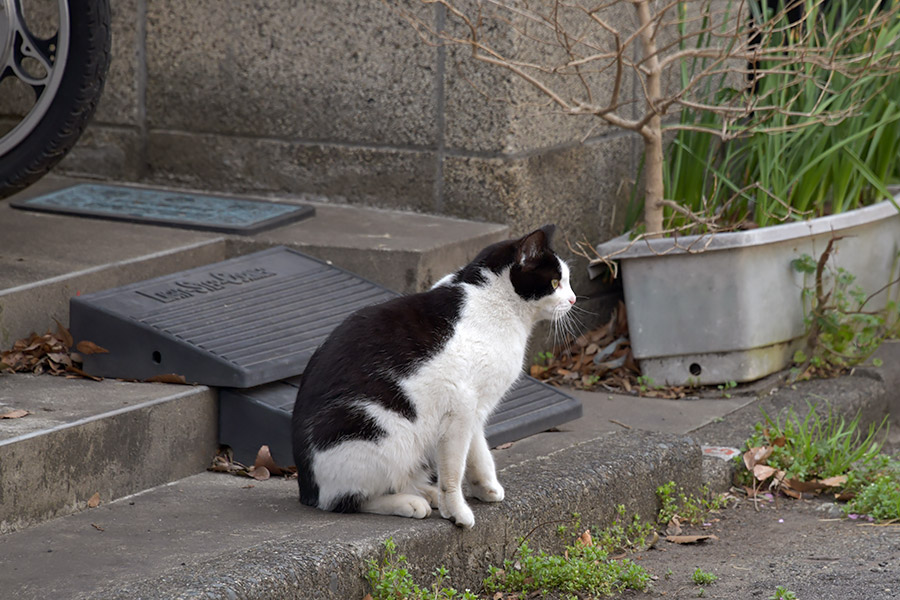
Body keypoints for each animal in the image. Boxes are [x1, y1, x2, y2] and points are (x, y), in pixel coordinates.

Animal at [294, 226, 576, 528]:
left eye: (567, 281)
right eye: (555, 282)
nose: (573, 299)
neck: (493, 300)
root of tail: (306, 489)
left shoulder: (475, 408)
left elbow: (478, 451)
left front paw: (485, 487)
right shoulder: (461, 405)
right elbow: (453, 470)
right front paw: (457, 512)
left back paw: (424, 493)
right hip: (384, 434)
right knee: (344, 500)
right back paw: (410, 502)